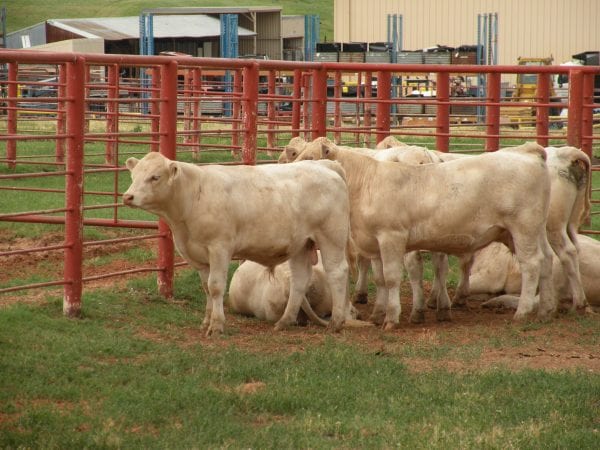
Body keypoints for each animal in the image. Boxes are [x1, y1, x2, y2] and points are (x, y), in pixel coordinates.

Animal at [124, 153, 352, 336]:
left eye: (155, 176)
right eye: (133, 176)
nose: (127, 196)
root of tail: (324, 165)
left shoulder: (219, 248)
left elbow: (216, 287)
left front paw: (216, 325)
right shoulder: (197, 256)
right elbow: (206, 288)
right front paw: (206, 322)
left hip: (331, 237)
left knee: (337, 273)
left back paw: (336, 322)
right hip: (302, 244)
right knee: (300, 280)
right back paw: (284, 321)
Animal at [298, 139, 556, 328]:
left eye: (310, 157)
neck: (366, 182)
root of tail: (527, 150)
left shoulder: (392, 237)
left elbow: (391, 278)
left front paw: (392, 318)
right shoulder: (374, 242)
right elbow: (380, 279)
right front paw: (378, 314)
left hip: (524, 228)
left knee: (532, 264)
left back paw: (523, 312)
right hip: (533, 230)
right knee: (547, 259)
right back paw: (545, 309)